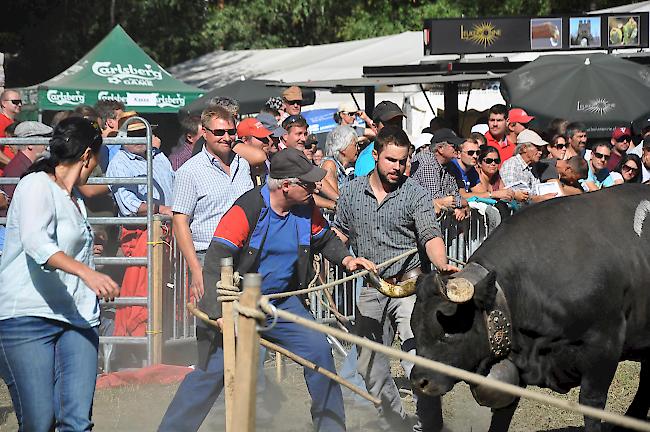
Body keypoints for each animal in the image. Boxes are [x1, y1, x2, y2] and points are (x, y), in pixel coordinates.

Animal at [408, 186, 644, 432]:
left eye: (449, 330)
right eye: (414, 327)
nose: (419, 382)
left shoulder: (603, 348)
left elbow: (591, 405)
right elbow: (504, 410)